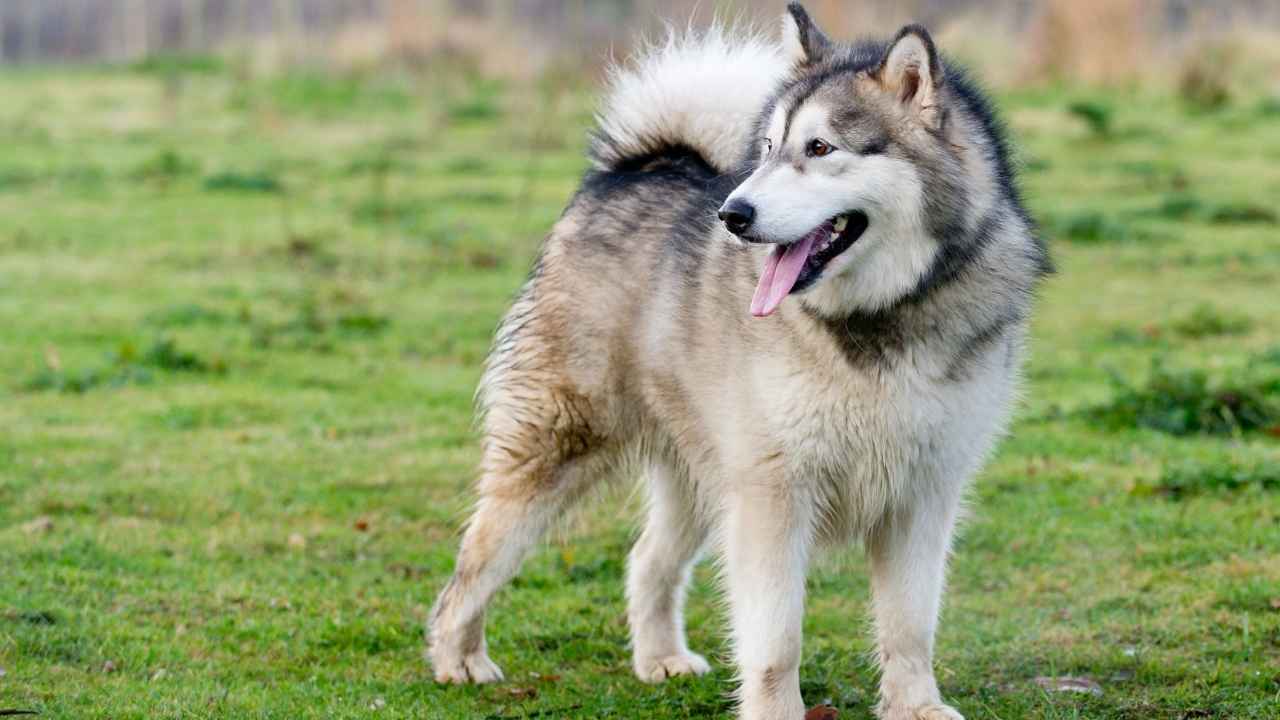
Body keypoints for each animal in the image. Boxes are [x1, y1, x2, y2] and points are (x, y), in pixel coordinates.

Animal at [430, 5, 1049, 717]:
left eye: (820, 148)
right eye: (769, 149)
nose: (733, 213)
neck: (879, 320)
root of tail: (634, 167)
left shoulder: (923, 492)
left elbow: (910, 624)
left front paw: (915, 706)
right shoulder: (773, 495)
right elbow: (776, 638)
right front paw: (778, 711)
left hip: (703, 473)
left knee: (647, 559)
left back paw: (659, 658)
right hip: (560, 446)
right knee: (474, 561)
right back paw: (457, 657)